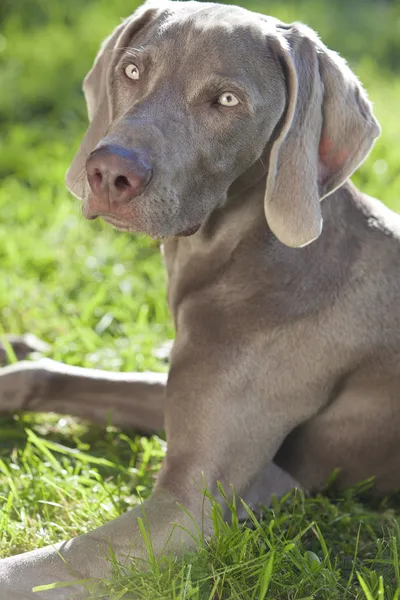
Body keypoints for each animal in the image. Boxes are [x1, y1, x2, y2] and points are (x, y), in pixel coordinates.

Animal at [0, 0, 400, 596]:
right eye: (132, 70)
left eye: (228, 100)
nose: (109, 172)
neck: (243, 257)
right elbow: (44, 375)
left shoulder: (188, 510)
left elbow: (24, 571)